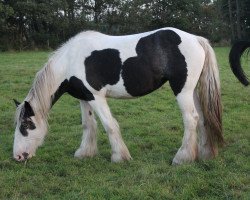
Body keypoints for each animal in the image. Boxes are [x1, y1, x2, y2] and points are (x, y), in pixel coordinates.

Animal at [13, 27, 225, 165]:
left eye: (26, 125)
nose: (18, 156)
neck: (70, 61)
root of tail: (196, 39)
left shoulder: (96, 97)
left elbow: (109, 125)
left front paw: (119, 157)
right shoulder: (84, 97)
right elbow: (88, 125)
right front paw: (85, 153)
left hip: (182, 90)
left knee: (191, 119)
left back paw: (182, 158)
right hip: (192, 90)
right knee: (203, 118)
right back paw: (205, 154)